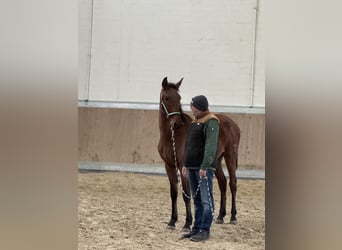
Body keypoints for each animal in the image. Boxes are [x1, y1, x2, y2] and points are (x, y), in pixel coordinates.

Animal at [158, 76, 240, 230]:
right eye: (166, 98)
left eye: (179, 98)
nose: (176, 123)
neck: (172, 136)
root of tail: (232, 123)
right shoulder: (169, 166)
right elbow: (174, 193)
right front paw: (172, 221)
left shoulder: (183, 166)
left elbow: (186, 194)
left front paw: (187, 223)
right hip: (216, 160)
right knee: (222, 183)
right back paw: (220, 216)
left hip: (230, 156)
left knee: (232, 183)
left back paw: (233, 217)